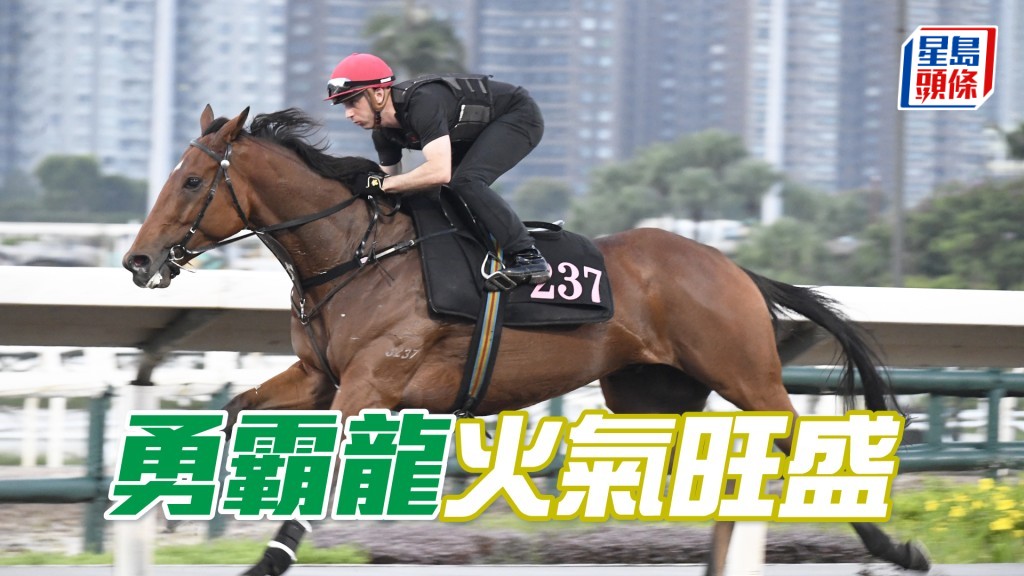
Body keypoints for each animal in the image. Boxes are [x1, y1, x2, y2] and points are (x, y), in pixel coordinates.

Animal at [123, 105, 929, 576]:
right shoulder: (318, 375)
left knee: (805, 445)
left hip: (747, 376)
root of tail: (731, 266)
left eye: (191, 182)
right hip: (650, 399)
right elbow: (233, 412)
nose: (138, 260)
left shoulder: (372, 386)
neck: (355, 252)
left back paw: (898, 550)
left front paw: (266, 559)